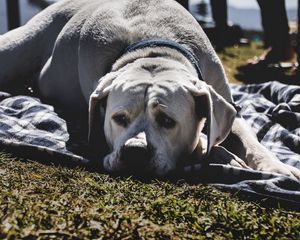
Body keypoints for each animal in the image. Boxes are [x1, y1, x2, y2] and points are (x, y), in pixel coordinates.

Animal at [0, 0, 298, 178]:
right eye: (118, 119)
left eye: (168, 121)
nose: (134, 151)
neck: (155, 52)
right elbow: (204, 142)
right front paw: (226, 158)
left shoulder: (225, 105)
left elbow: (250, 141)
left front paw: (278, 168)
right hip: (15, 49)